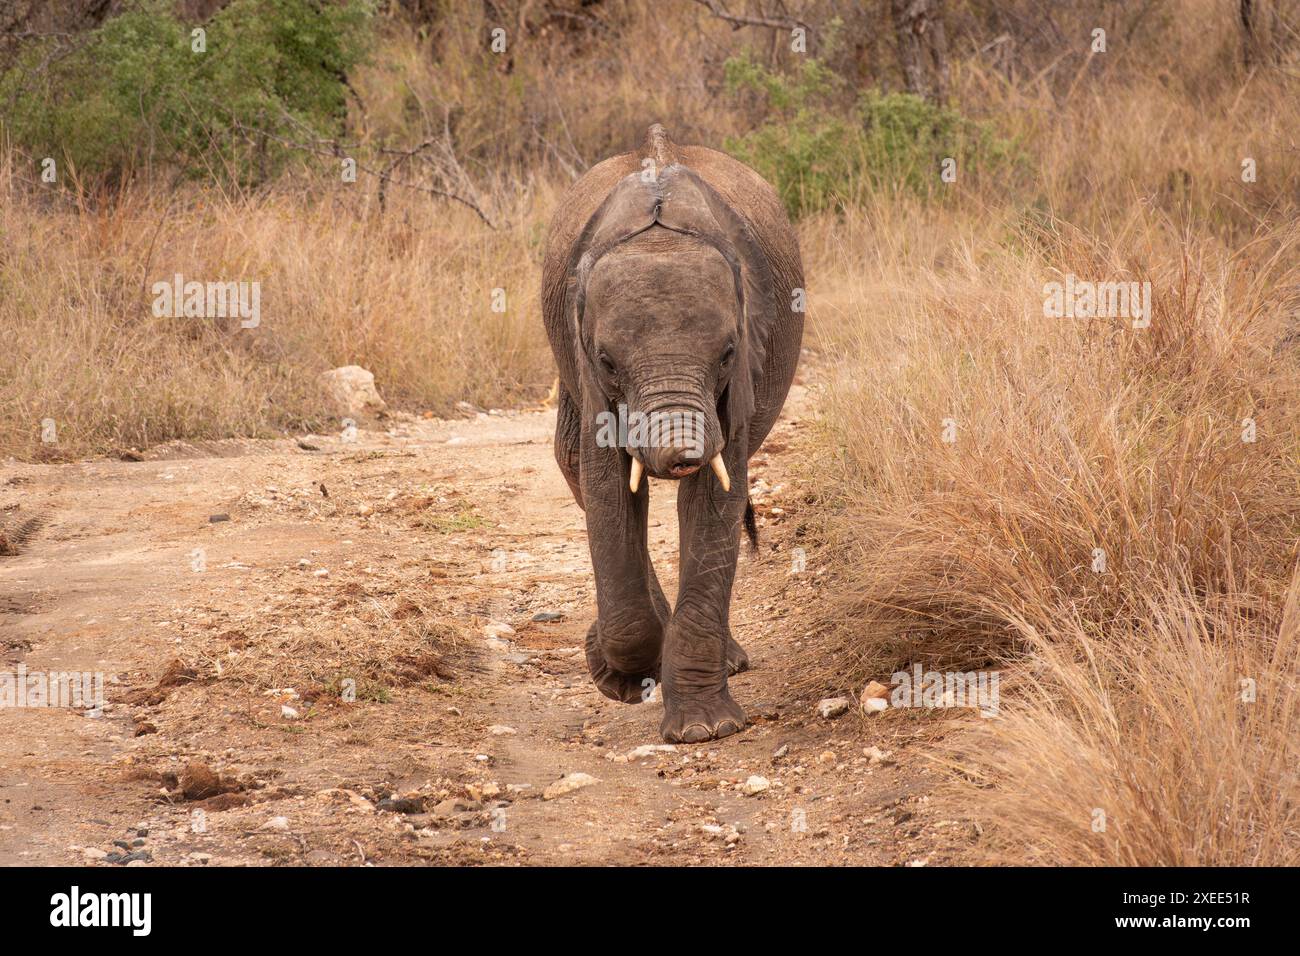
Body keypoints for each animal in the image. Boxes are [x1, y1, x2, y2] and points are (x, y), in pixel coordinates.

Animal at [541, 124, 805, 743]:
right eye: (608, 361)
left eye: (728, 353)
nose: (680, 455)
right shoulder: (587, 370)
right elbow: (608, 486)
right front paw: (619, 677)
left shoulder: (741, 376)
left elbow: (714, 497)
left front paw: (705, 730)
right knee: (573, 464)